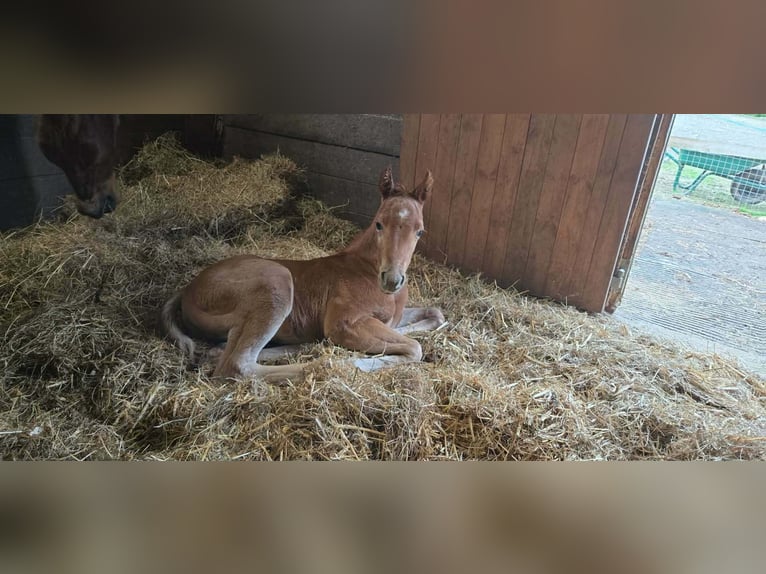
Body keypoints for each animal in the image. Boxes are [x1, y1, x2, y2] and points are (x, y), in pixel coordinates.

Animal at [161, 166, 446, 383]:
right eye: (379, 224)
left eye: (420, 231)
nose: (392, 279)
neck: (366, 270)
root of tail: (187, 289)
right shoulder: (344, 322)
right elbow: (414, 347)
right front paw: (356, 361)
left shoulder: (392, 317)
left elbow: (434, 315)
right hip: (277, 283)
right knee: (236, 364)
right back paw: (325, 365)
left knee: (222, 351)